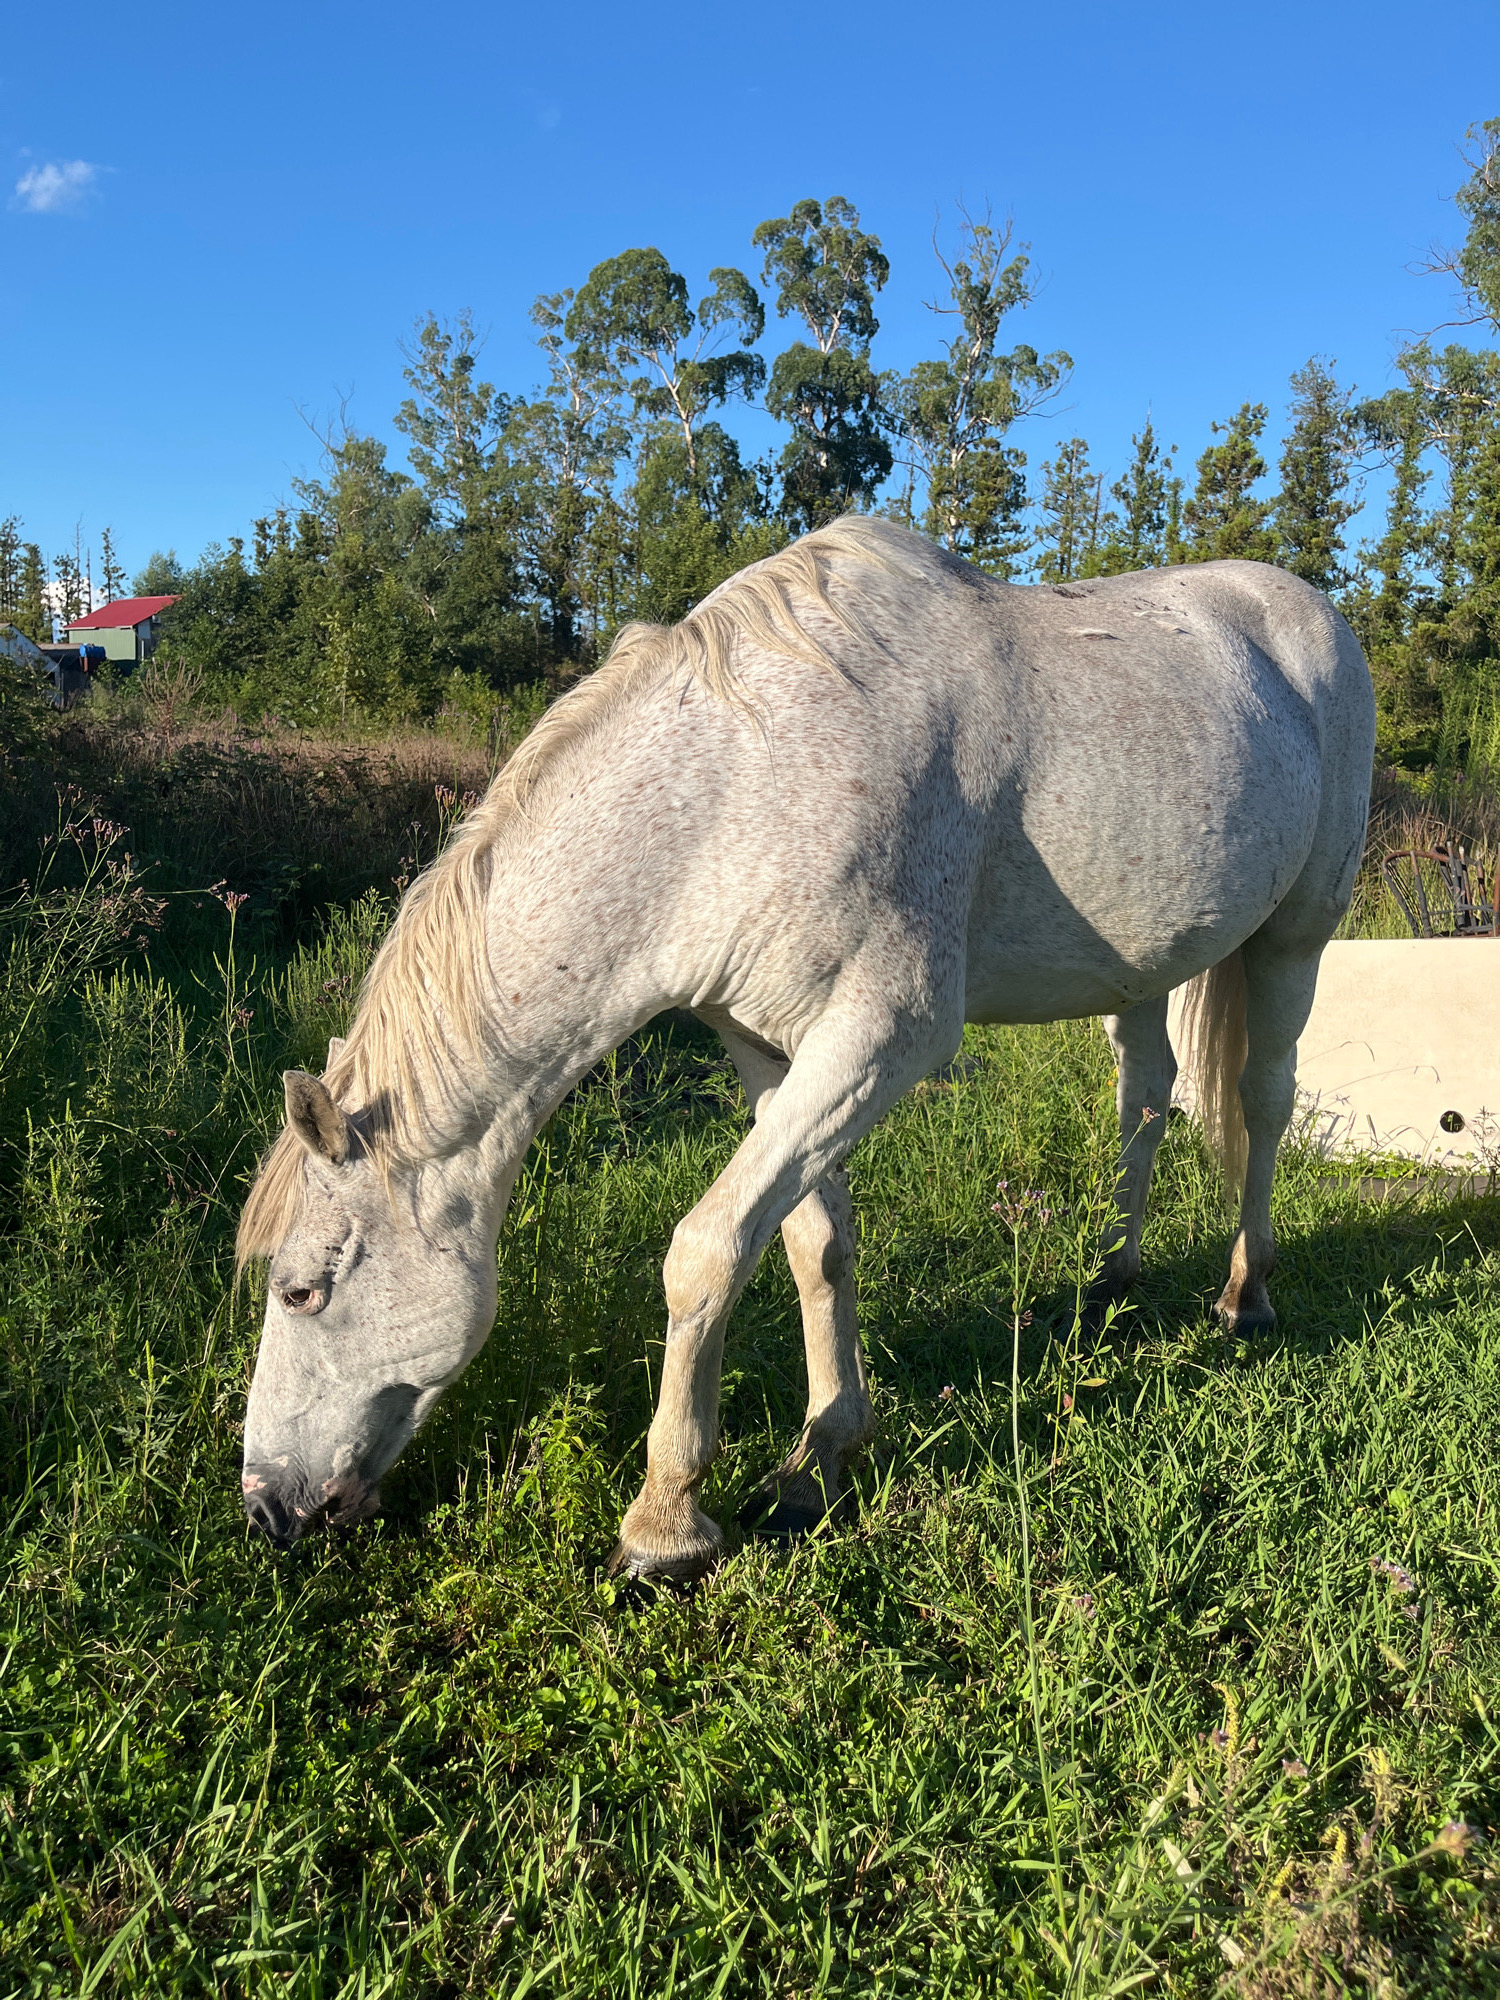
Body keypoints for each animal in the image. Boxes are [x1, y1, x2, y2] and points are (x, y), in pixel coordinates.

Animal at [236, 515, 1375, 1580]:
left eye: (300, 1291)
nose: (266, 1508)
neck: (738, 788)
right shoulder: (769, 1047)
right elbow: (809, 1241)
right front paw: (819, 1461)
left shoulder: (882, 1037)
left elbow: (705, 1249)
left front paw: (665, 1523)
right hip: (1139, 972)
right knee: (1146, 1094)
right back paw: (1107, 1282)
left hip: (1295, 939)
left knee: (1263, 1099)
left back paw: (1245, 1295)